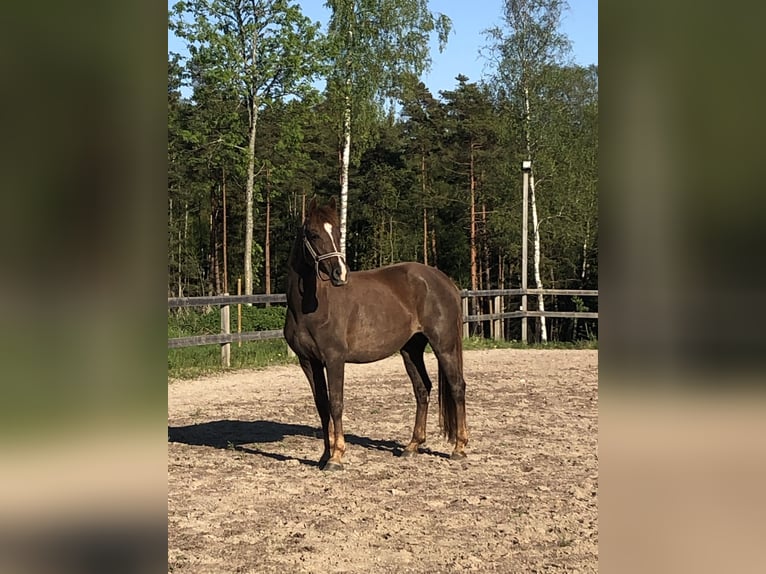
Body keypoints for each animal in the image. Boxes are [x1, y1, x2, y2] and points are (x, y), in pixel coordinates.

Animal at [283, 196, 468, 471]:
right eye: (314, 234)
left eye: (337, 233)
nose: (340, 273)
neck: (309, 308)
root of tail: (444, 281)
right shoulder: (308, 362)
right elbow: (322, 406)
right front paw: (324, 456)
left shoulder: (334, 359)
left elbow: (336, 403)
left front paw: (336, 457)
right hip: (411, 349)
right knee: (422, 389)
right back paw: (412, 446)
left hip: (443, 345)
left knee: (457, 387)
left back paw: (459, 448)